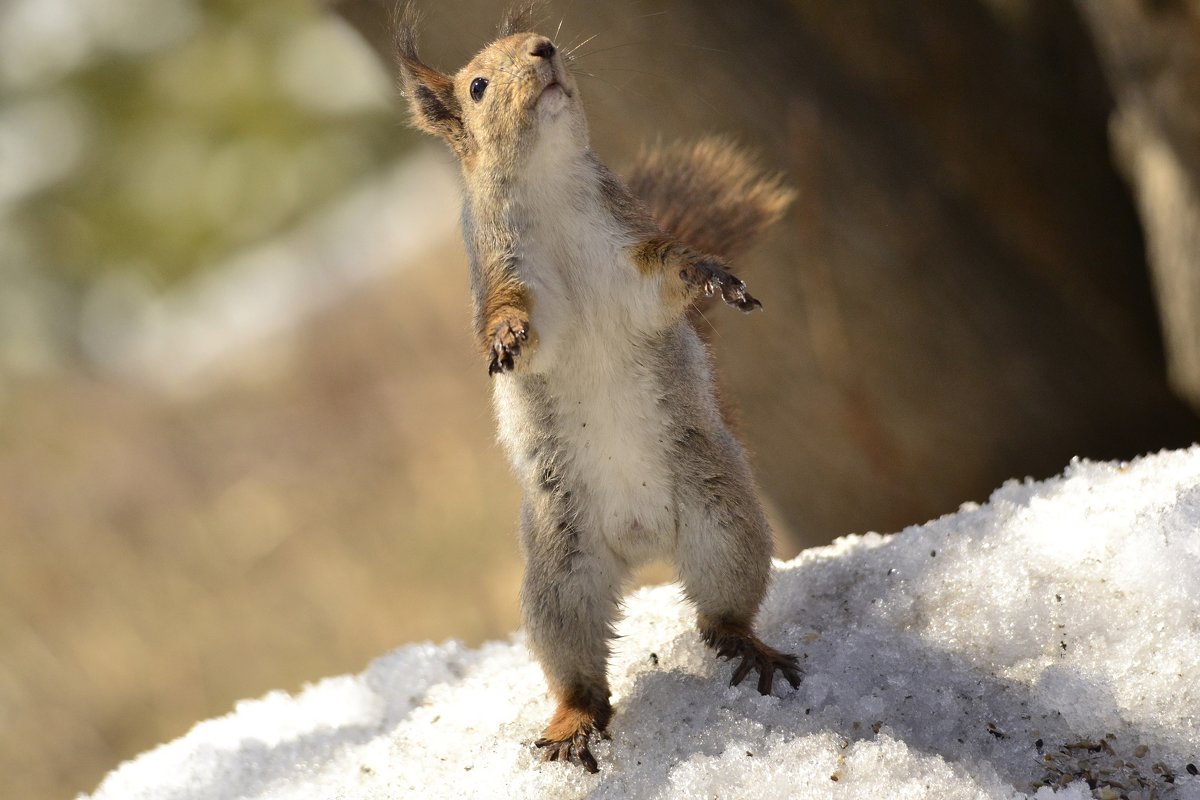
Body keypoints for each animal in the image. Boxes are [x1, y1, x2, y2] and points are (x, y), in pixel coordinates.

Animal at [393, 3, 801, 772]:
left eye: (538, 40)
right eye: (477, 86)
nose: (545, 50)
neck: (549, 187)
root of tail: (643, 543)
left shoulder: (635, 256)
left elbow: (673, 272)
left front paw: (713, 275)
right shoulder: (502, 275)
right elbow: (512, 320)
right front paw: (503, 339)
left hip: (723, 522)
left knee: (721, 608)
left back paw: (745, 643)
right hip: (562, 580)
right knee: (580, 670)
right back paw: (573, 721)